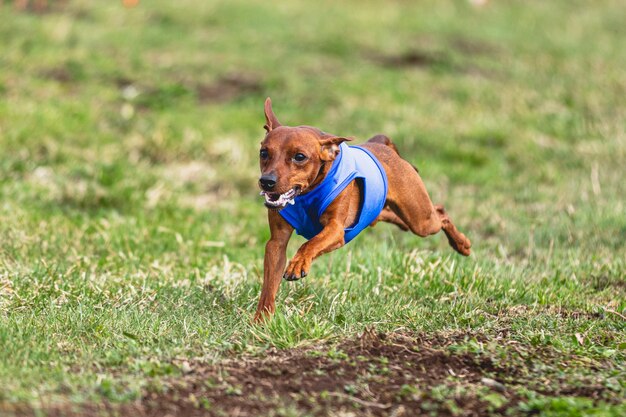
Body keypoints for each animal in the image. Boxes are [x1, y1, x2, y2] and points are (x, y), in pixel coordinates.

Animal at [254, 98, 468, 322]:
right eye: (264, 153)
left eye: (300, 157)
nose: (267, 181)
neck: (307, 194)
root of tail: (382, 144)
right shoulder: (276, 243)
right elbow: (269, 285)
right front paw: (262, 319)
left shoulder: (336, 230)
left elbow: (309, 244)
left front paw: (298, 263)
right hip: (392, 214)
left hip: (421, 219)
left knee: (441, 213)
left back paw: (461, 244)